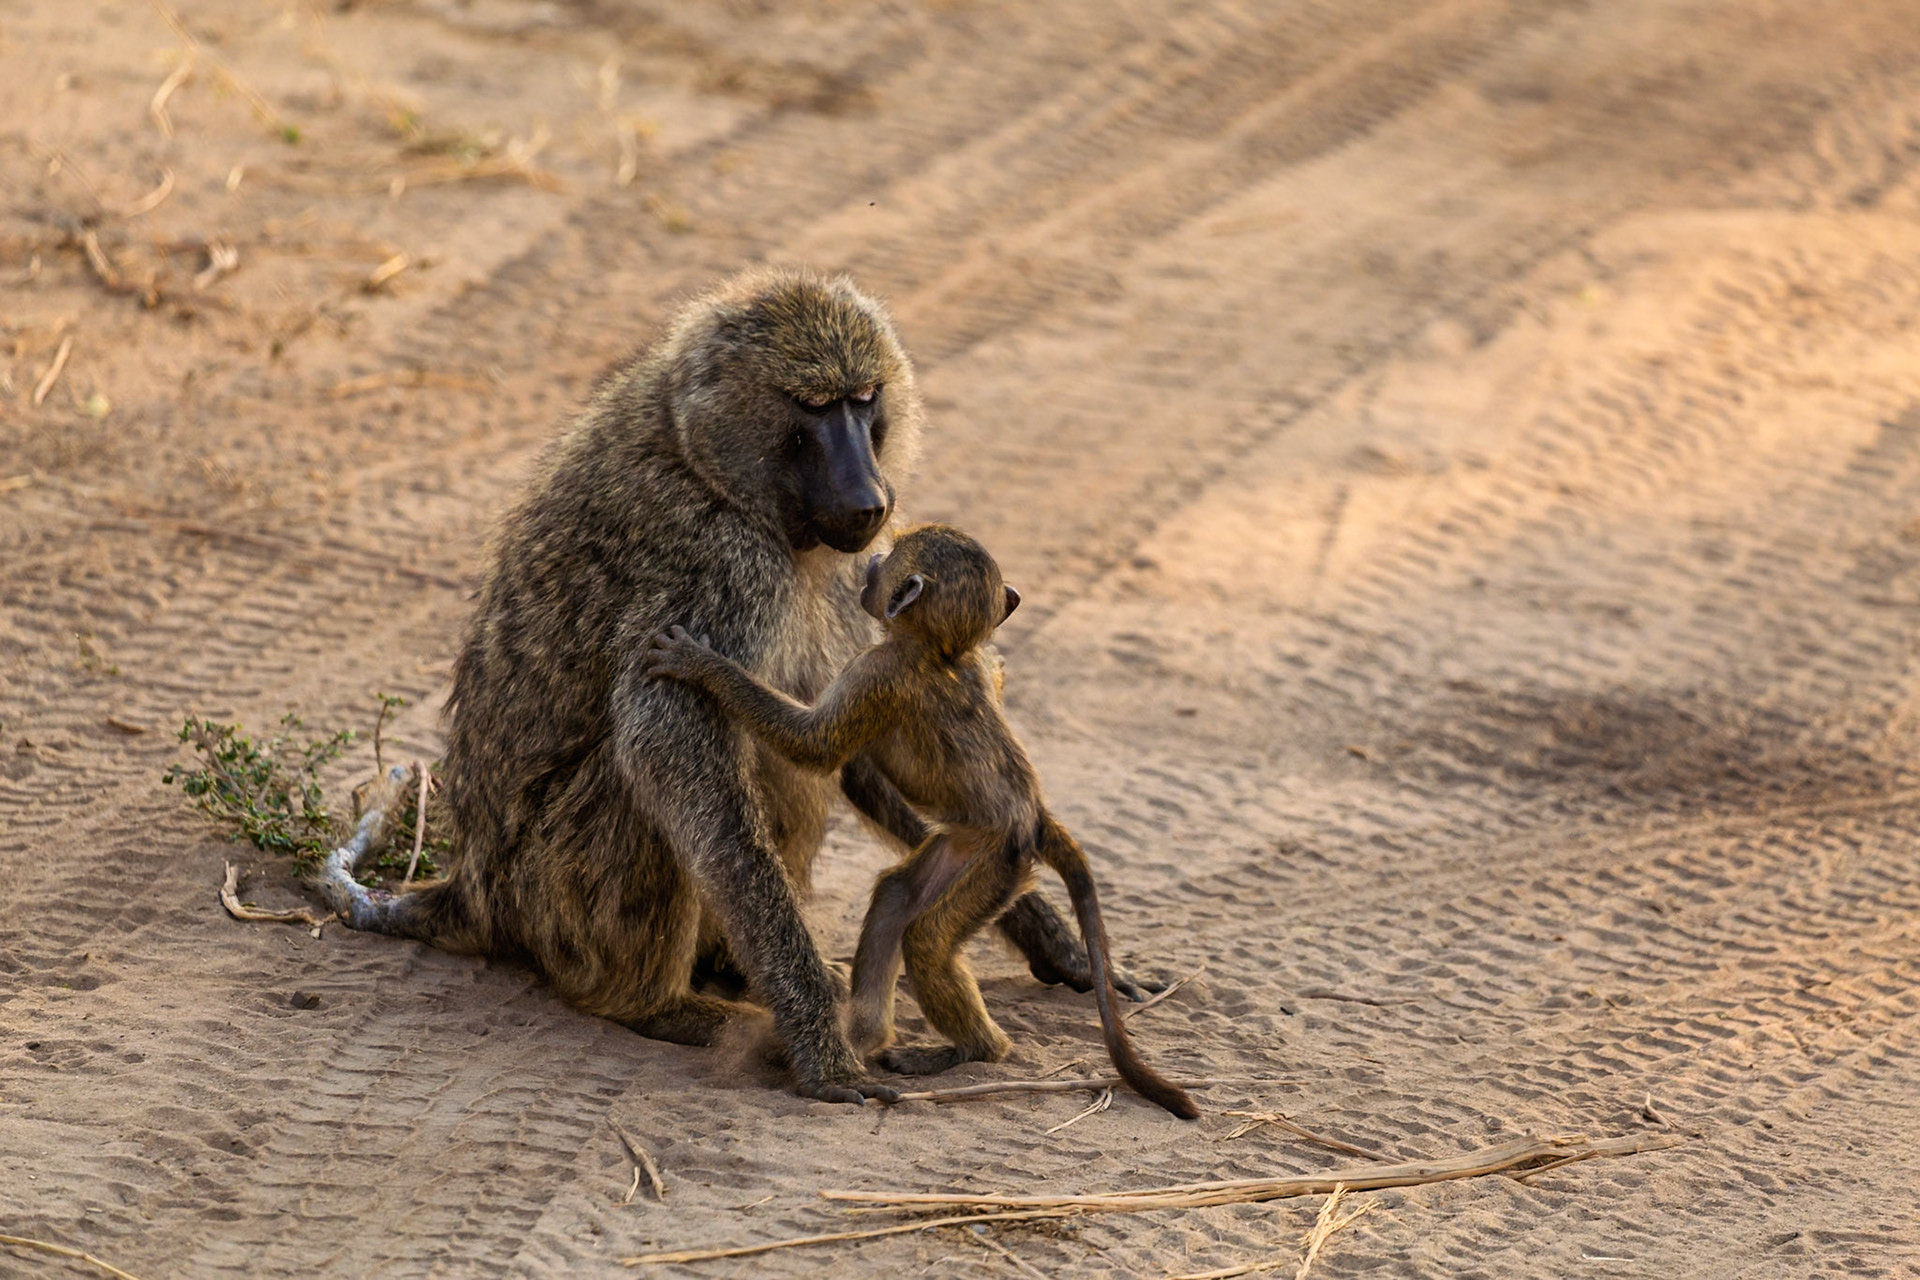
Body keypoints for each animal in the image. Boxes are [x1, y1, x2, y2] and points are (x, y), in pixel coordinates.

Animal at [312, 267, 1144, 1104]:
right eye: (813, 409)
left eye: (864, 398)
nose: (869, 501)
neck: (702, 458)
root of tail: (474, 890)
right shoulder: (715, 561)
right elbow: (677, 750)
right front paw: (821, 1049)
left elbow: (843, 748)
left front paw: (1059, 941)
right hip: (549, 897)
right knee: (639, 789)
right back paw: (661, 1006)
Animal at [644, 524, 1199, 1119]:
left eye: (893, 554)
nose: (871, 563)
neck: (936, 649)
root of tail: (1028, 818)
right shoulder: (961, 663)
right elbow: (989, 677)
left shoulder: (876, 670)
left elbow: (814, 747)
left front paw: (700, 664)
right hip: (961, 848)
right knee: (896, 896)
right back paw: (866, 1033)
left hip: (996, 865)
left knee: (929, 941)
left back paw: (974, 1049)